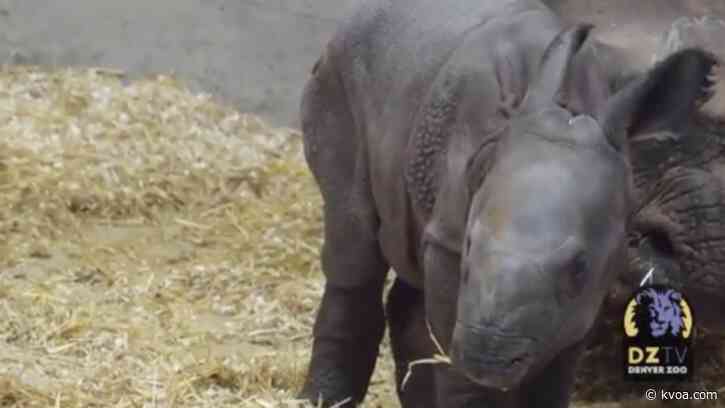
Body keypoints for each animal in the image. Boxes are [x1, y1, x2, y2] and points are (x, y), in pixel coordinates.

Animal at [297, 0, 719, 406]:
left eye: (580, 268)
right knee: (355, 244)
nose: (487, 357)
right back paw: (323, 399)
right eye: (469, 246)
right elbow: (460, 369)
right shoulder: (451, 243)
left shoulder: (594, 280)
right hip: (339, 76)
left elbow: (553, 374)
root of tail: (355, 15)